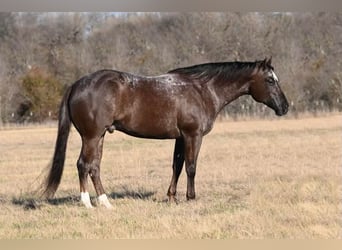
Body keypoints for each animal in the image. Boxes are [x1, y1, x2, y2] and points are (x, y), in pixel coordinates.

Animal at [42, 57, 288, 208]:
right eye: (270, 80)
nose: (284, 107)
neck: (202, 90)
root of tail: (77, 84)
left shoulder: (180, 138)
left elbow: (177, 166)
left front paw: (172, 197)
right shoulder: (193, 135)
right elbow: (191, 167)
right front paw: (191, 197)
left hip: (99, 136)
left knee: (94, 167)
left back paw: (106, 202)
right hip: (91, 137)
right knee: (83, 165)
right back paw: (87, 203)